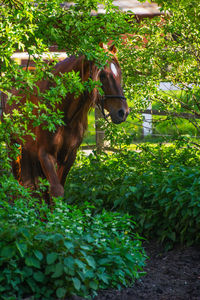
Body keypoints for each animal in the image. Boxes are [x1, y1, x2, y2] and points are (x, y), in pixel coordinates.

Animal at [1, 45, 129, 200]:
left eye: (120, 73)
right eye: (103, 75)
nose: (123, 112)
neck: (66, 114)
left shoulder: (69, 156)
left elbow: (57, 188)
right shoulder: (46, 154)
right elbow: (56, 190)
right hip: (13, 145)